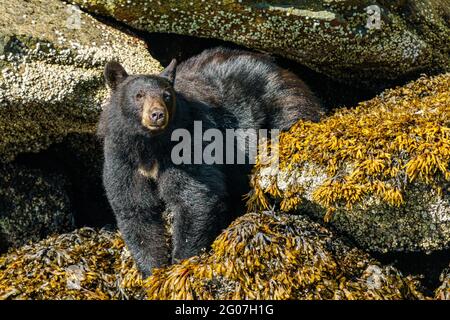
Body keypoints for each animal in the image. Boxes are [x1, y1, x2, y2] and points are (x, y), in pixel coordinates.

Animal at [97, 47, 324, 276]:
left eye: (167, 96)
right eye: (139, 95)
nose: (157, 114)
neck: (150, 147)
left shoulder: (189, 143)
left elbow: (194, 198)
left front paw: (180, 264)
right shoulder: (123, 159)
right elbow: (135, 209)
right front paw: (153, 270)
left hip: (281, 104)